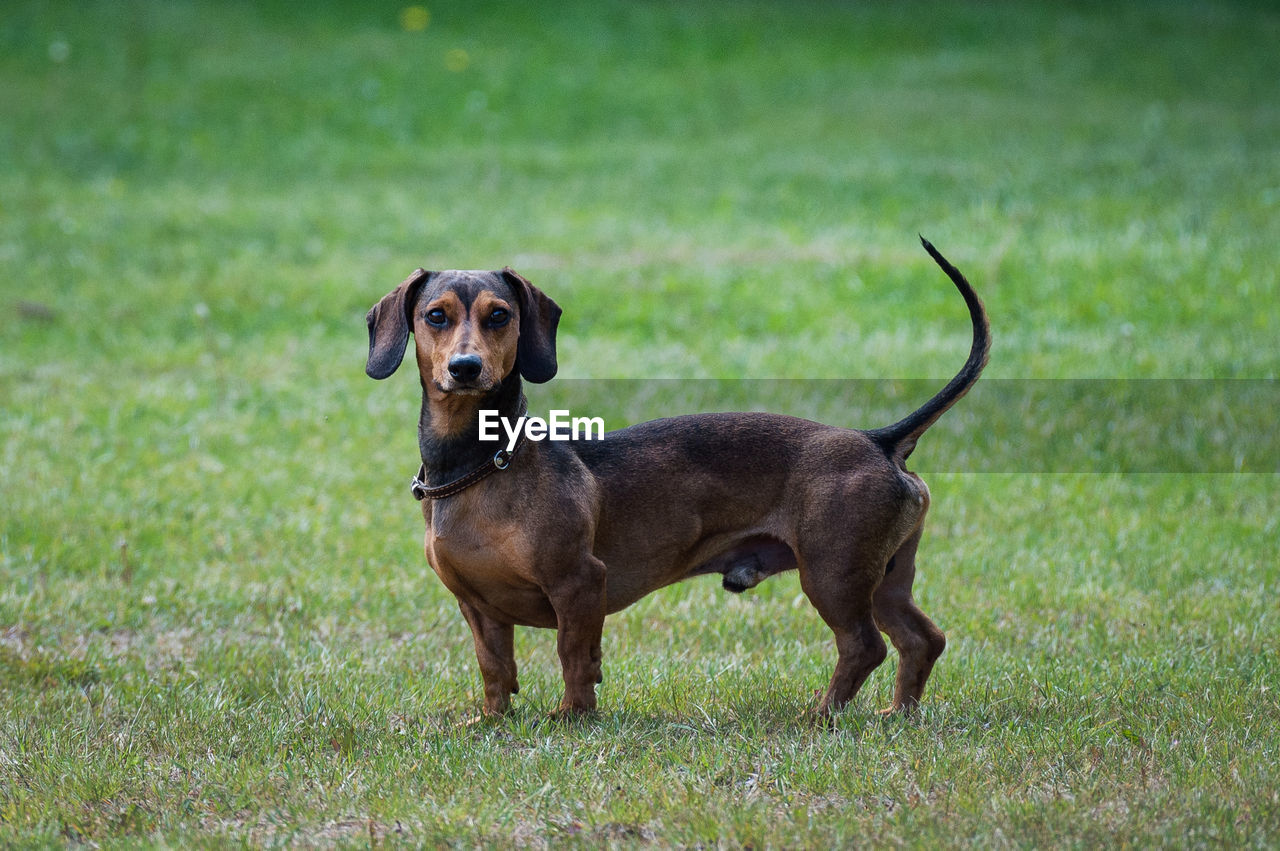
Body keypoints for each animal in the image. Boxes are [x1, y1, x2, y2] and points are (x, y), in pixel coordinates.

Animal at [366, 236, 993, 716]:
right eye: (436, 315)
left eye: (500, 315)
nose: (465, 368)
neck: (478, 466)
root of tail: (878, 439)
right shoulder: (477, 607)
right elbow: (495, 668)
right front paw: (493, 721)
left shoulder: (579, 582)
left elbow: (575, 658)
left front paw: (571, 718)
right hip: (883, 577)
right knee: (921, 639)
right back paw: (898, 714)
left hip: (833, 575)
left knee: (864, 647)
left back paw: (821, 716)